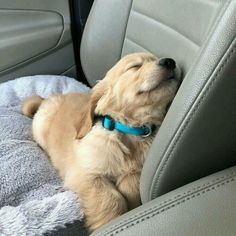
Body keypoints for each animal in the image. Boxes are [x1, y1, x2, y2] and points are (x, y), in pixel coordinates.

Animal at [21, 52, 181, 231]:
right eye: (135, 66)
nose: (170, 62)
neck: (127, 131)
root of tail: (46, 99)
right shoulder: (84, 174)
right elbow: (111, 198)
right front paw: (109, 222)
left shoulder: (137, 171)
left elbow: (129, 183)